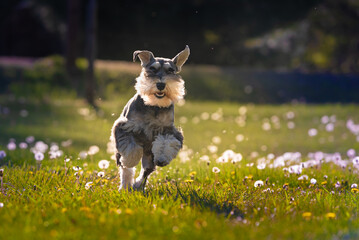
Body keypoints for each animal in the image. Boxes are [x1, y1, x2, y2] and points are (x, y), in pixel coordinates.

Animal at [111, 45, 191, 191]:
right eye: (152, 68)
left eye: (171, 70)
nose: (160, 85)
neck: (154, 105)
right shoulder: (124, 127)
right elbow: (131, 149)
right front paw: (131, 159)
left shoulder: (168, 130)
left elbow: (167, 142)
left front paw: (163, 157)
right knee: (125, 169)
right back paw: (126, 186)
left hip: (149, 157)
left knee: (146, 171)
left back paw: (138, 186)